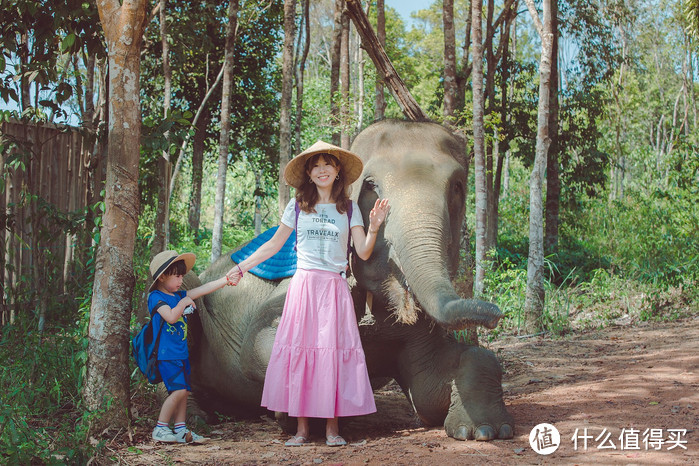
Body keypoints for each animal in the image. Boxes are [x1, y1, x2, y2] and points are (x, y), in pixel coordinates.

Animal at [186, 117, 516, 440]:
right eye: (370, 186)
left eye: (458, 187)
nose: (494, 314)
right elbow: (258, 344)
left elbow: (429, 391)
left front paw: (483, 431)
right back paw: (196, 421)